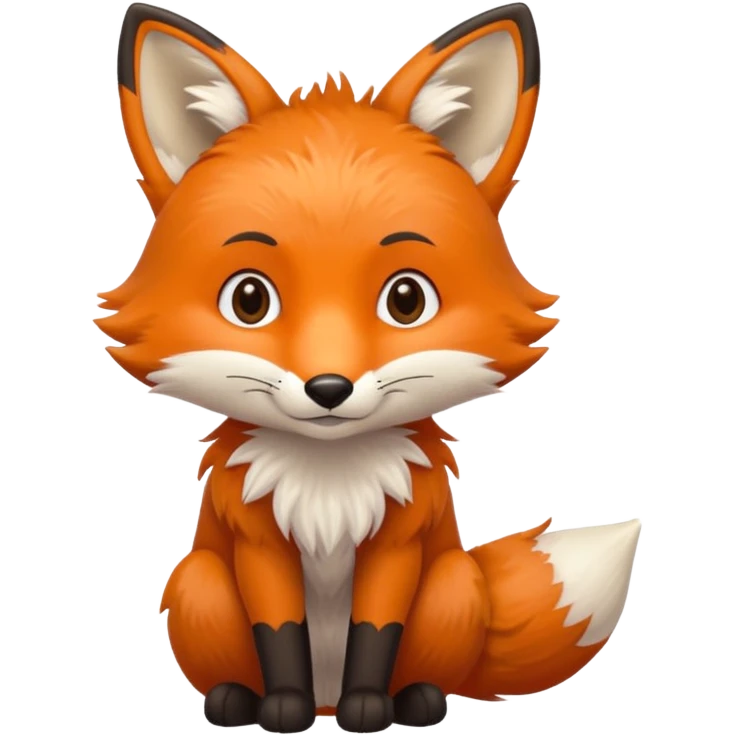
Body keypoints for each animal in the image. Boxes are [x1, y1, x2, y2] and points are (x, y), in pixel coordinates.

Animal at [100, 2, 642, 732]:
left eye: (406, 299)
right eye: (249, 300)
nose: (328, 388)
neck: (330, 481)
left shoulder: (400, 541)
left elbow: (376, 629)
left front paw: (368, 707)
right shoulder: (257, 541)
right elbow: (279, 631)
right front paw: (284, 707)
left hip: (453, 585)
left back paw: (413, 698)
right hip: (198, 582)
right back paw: (238, 699)